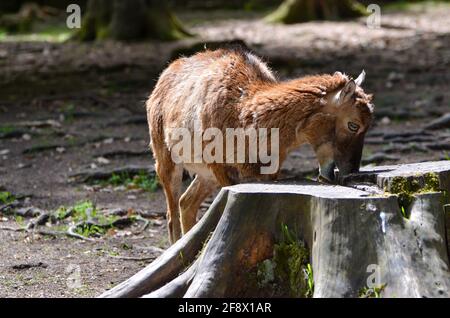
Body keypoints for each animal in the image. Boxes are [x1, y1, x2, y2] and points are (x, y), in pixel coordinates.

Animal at [147, 47, 372, 243]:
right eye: (353, 124)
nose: (351, 169)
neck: (242, 114)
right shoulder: (221, 167)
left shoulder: (267, 170)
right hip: (164, 158)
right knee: (172, 213)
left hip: (204, 175)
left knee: (186, 202)